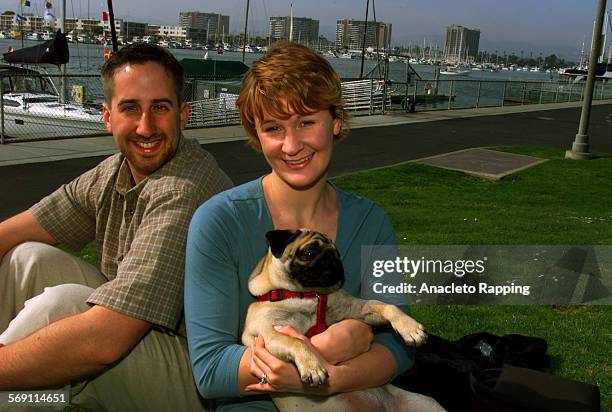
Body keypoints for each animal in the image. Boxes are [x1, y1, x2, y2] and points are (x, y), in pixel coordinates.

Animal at [241, 229, 442, 412]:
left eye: (337, 253)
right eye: (309, 252)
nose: (333, 259)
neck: (308, 296)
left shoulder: (357, 309)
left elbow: (387, 306)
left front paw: (410, 328)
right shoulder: (270, 333)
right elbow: (297, 342)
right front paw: (313, 367)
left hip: (428, 404)